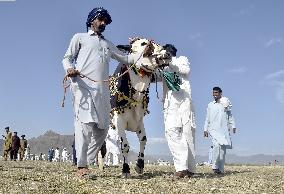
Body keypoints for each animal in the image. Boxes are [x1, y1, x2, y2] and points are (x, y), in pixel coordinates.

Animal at [108, 38, 171, 177]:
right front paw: (126, 169)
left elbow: (144, 140)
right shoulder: (119, 121)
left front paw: (140, 165)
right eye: (143, 44)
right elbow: (125, 145)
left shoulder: (139, 121)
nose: (168, 53)